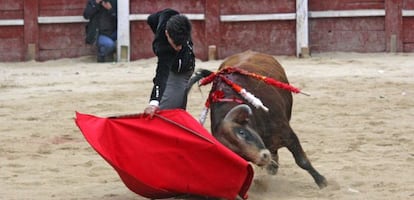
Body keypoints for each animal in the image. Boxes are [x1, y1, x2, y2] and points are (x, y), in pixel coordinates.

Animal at [188, 50, 326, 188]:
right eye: (237, 153)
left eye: (242, 132)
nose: (263, 157)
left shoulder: (287, 134)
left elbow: (302, 161)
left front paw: (321, 181)